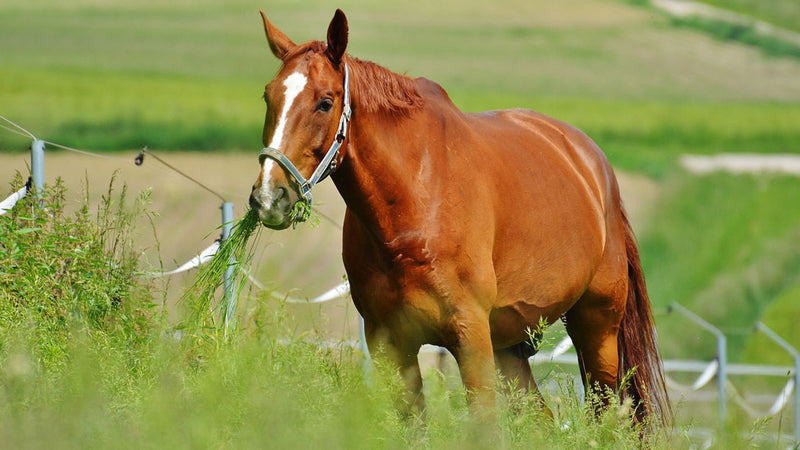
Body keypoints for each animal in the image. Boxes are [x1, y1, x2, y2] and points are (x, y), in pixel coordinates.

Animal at [249, 9, 669, 423]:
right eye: (268, 96)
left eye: (325, 101)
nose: (269, 197)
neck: (412, 206)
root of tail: (593, 163)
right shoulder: (390, 346)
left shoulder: (470, 338)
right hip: (511, 346)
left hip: (597, 330)